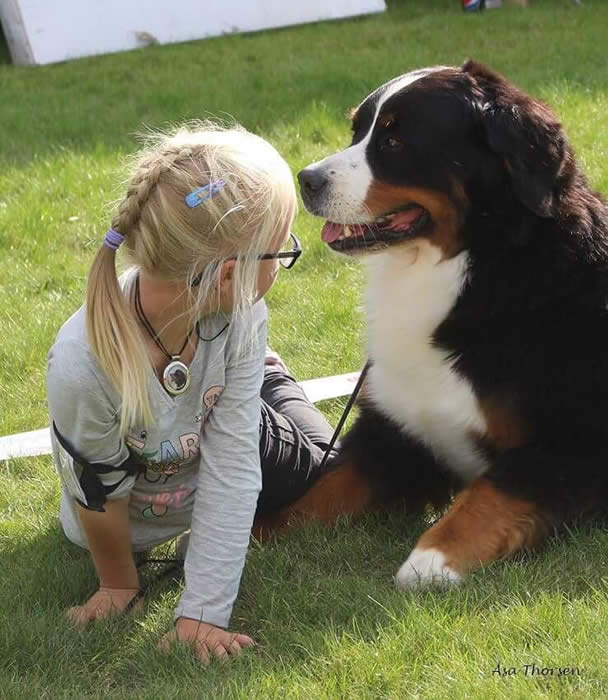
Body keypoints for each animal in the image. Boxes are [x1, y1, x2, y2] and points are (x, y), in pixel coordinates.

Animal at [253, 60, 608, 592]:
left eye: (395, 140)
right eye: (358, 130)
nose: (306, 179)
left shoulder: (577, 437)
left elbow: (497, 488)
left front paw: (432, 557)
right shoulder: (395, 432)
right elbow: (320, 488)